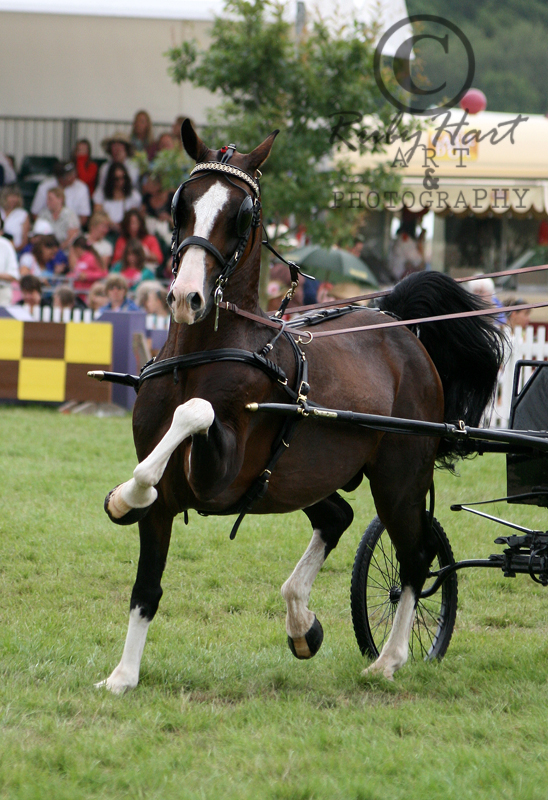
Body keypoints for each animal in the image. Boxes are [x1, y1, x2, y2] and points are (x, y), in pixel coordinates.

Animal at [95, 120, 506, 692]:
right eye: (182, 203)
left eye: (242, 213)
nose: (185, 297)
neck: (200, 356)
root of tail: (400, 327)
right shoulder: (170, 504)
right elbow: (146, 586)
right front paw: (123, 675)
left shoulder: (216, 476)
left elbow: (194, 412)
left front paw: (120, 498)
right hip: (295, 476)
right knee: (339, 517)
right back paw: (301, 623)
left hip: (398, 476)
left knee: (416, 558)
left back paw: (389, 660)